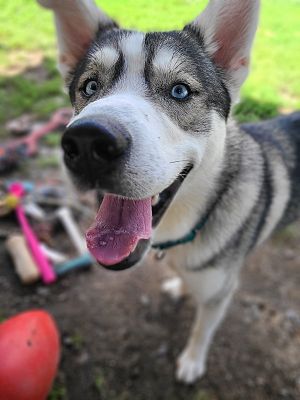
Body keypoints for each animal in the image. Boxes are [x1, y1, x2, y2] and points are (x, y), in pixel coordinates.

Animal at [38, 0, 300, 382]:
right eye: (90, 86)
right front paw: (180, 286)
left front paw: (192, 361)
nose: (87, 142)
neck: (185, 223)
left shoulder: (220, 292)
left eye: (179, 91)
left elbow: (202, 329)